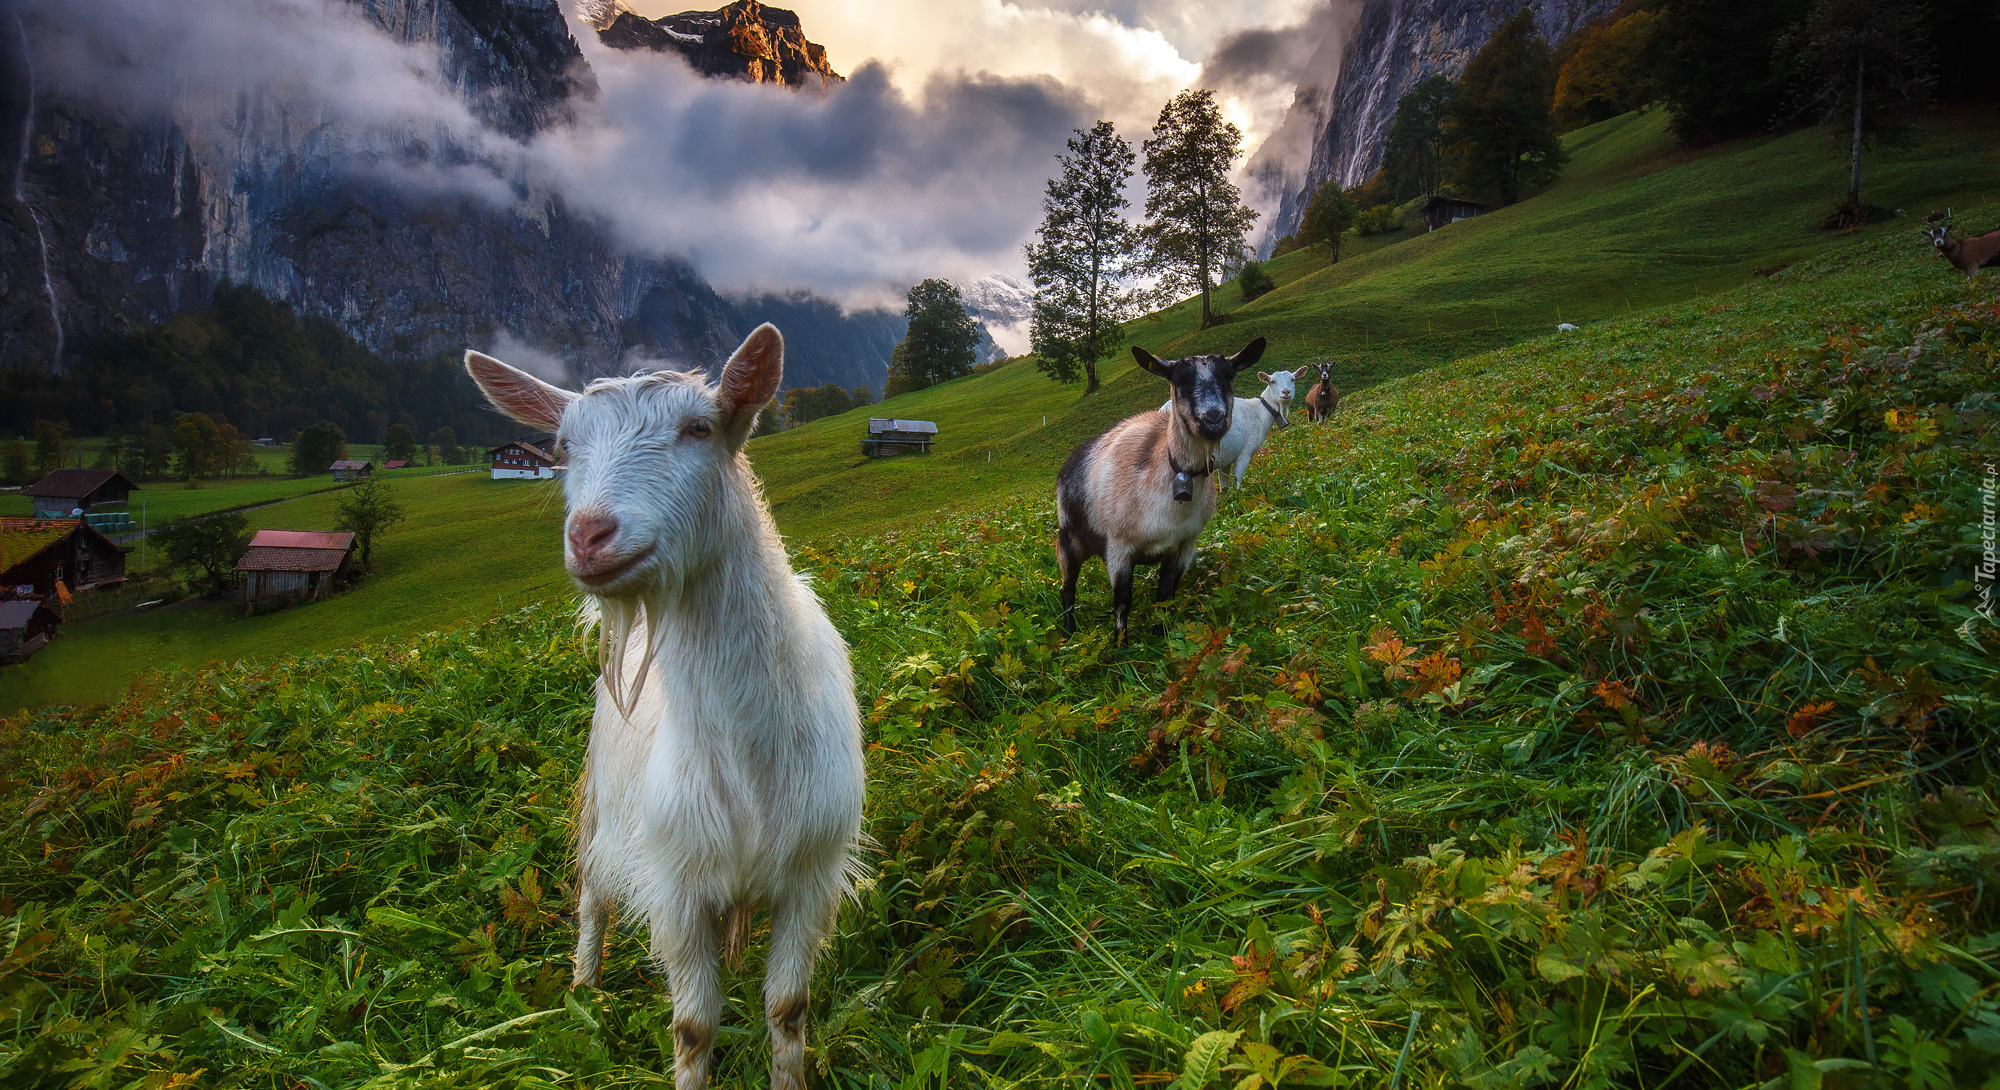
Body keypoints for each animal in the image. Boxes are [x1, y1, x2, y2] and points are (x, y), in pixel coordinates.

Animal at [464, 326, 864, 1088]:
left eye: (699, 428)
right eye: (563, 447)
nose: (589, 535)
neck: (747, 758)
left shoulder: (811, 872)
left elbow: (788, 1009)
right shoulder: (676, 883)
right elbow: (693, 1026)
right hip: (602, 793)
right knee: (591, 890)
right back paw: (582, 988)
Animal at [1048, 340, 1264, 640]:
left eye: (1229, 376)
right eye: (1179, 382)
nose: (1213, 420)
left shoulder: (1183, 546)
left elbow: (1166, 594)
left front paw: (1162, 634)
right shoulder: (1119, 547)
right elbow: (1122, 603)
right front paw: (1121, 646)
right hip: (1068, 540)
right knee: (1067, 589)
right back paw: (1069, 634)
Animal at [1160, 366, 1312, 488]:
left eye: (1293, 379)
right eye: (1272, 381)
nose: (1286, 392)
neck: (1259, 413)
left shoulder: (1225, 458)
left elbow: (1224, 485)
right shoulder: (1244, 453)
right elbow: (1236, 483)